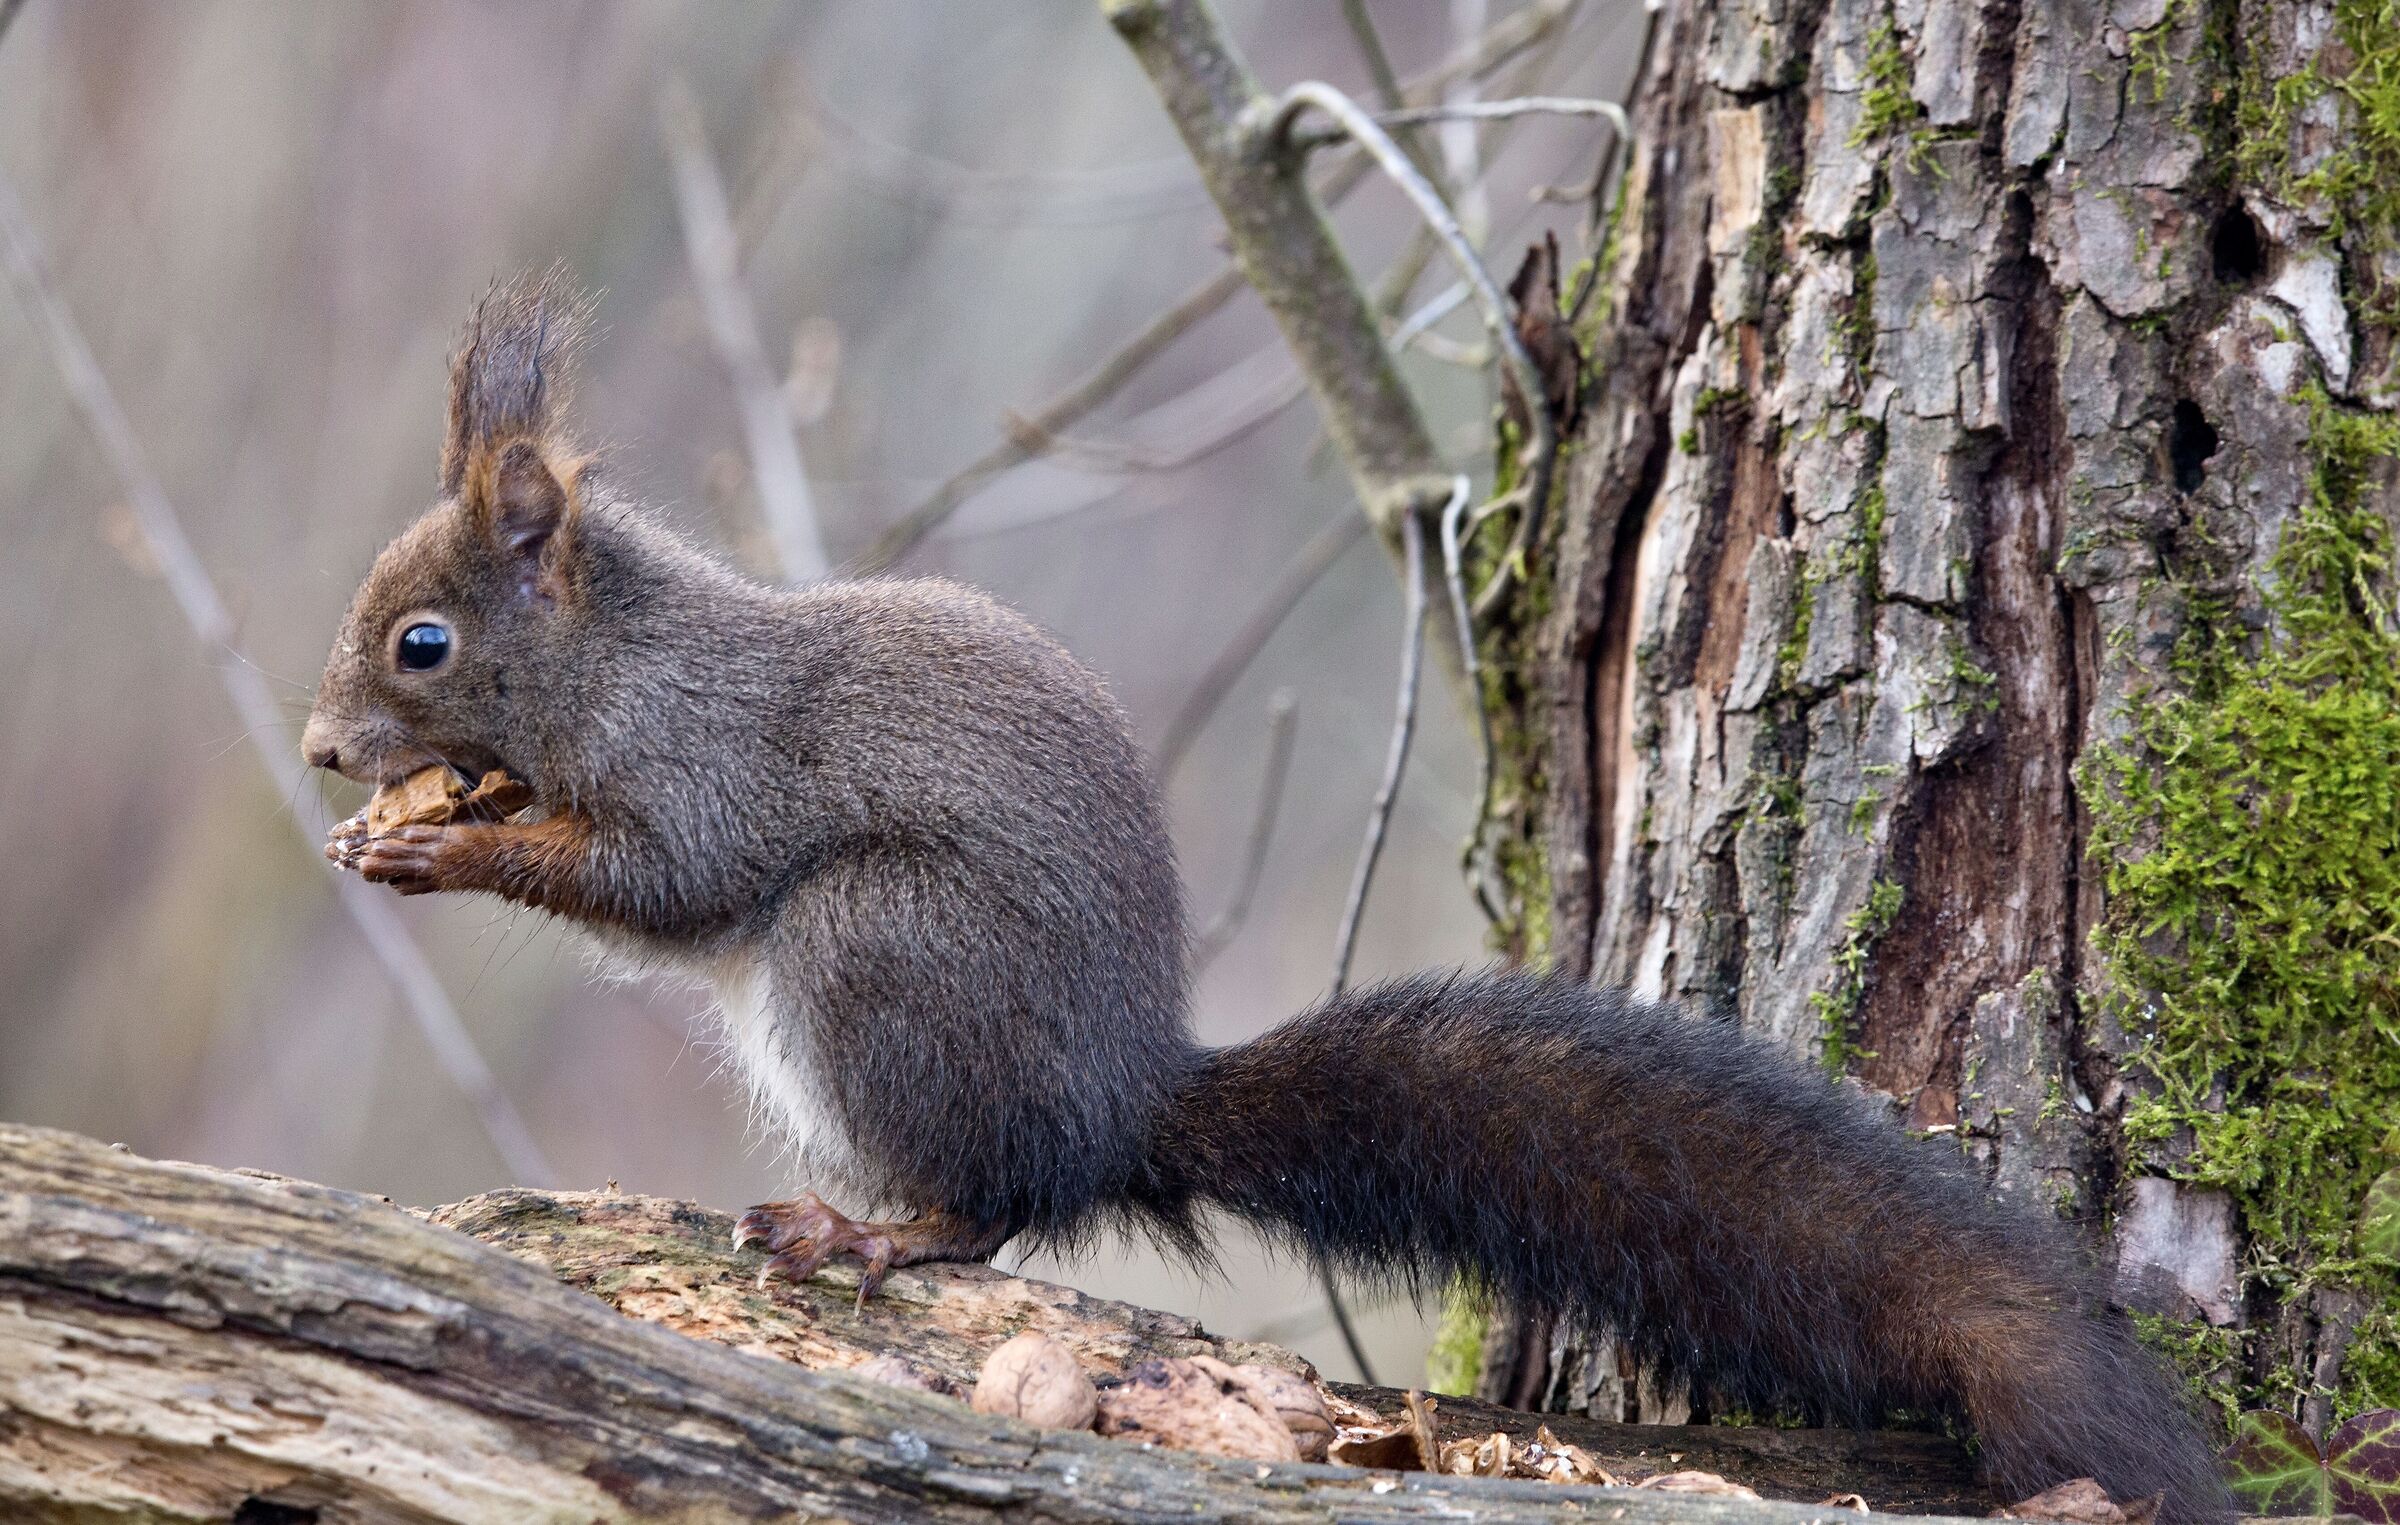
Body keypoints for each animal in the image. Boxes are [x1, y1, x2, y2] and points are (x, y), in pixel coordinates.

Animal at [302, 272, 2229, 1522]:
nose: (321, 753)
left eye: (425, 641)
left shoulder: (716, 767)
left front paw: (443, 844)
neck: (616, 661)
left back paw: (876, 1230)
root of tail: (1122, 1098)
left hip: (880, 955)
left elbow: (669, 876)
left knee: (994, 1206)